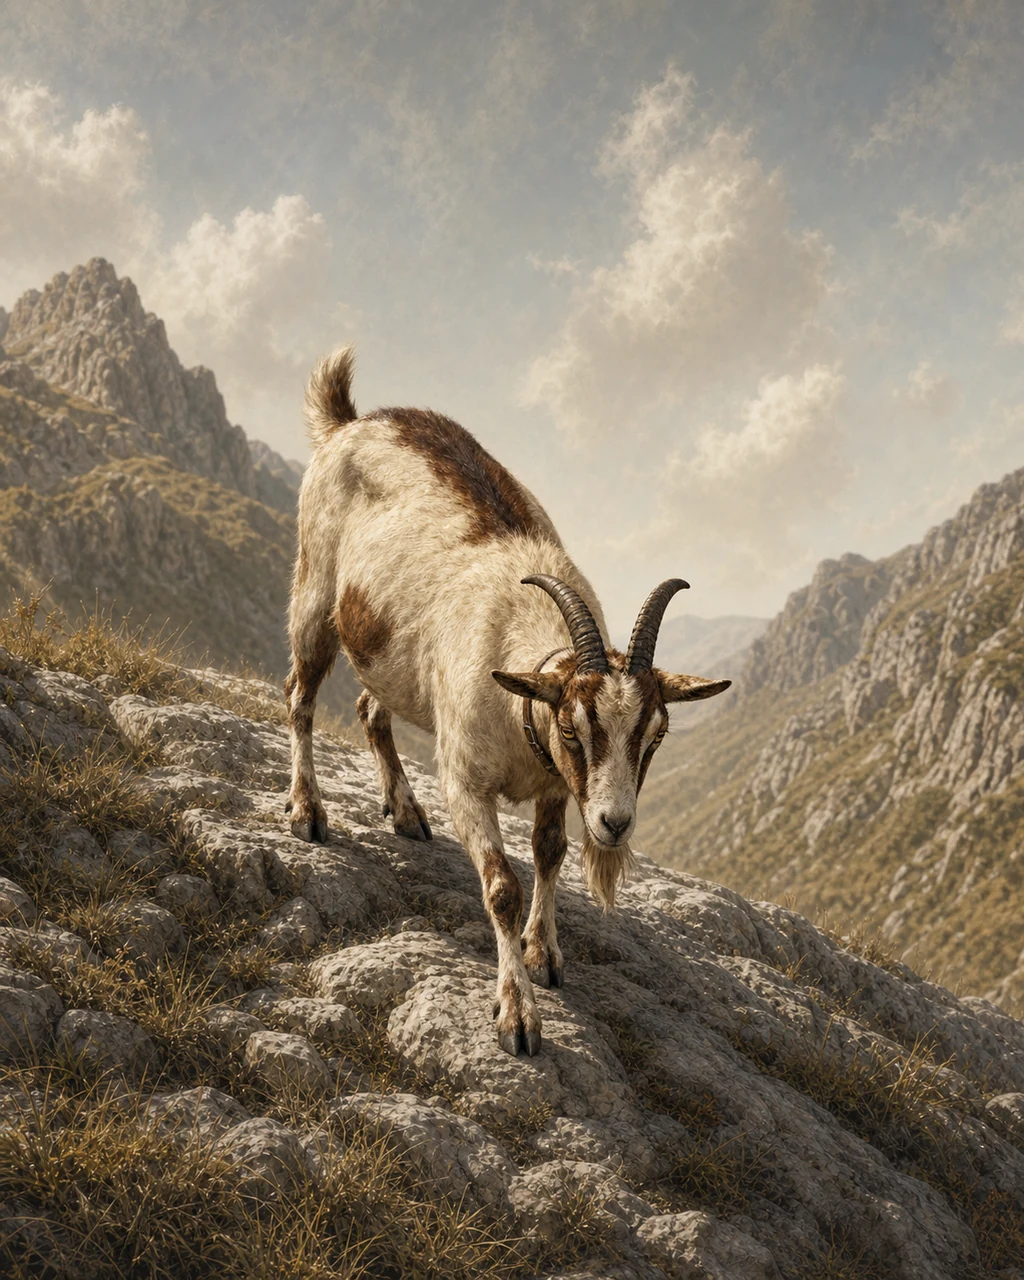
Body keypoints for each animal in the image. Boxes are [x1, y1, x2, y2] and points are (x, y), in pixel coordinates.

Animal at [285, 348, 730, 1056]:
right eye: (573, 727)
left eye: (656, 733)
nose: (615, 824)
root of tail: (348, 422)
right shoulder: (466, 780)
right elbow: (501, 887)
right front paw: (517, 1016)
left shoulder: (555, 788)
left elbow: (549, 854)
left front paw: (544, 955)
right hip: (315, 588)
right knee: (299, 696)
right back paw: (307, 811)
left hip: (391, 656)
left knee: (369, 710)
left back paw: (404, 812)